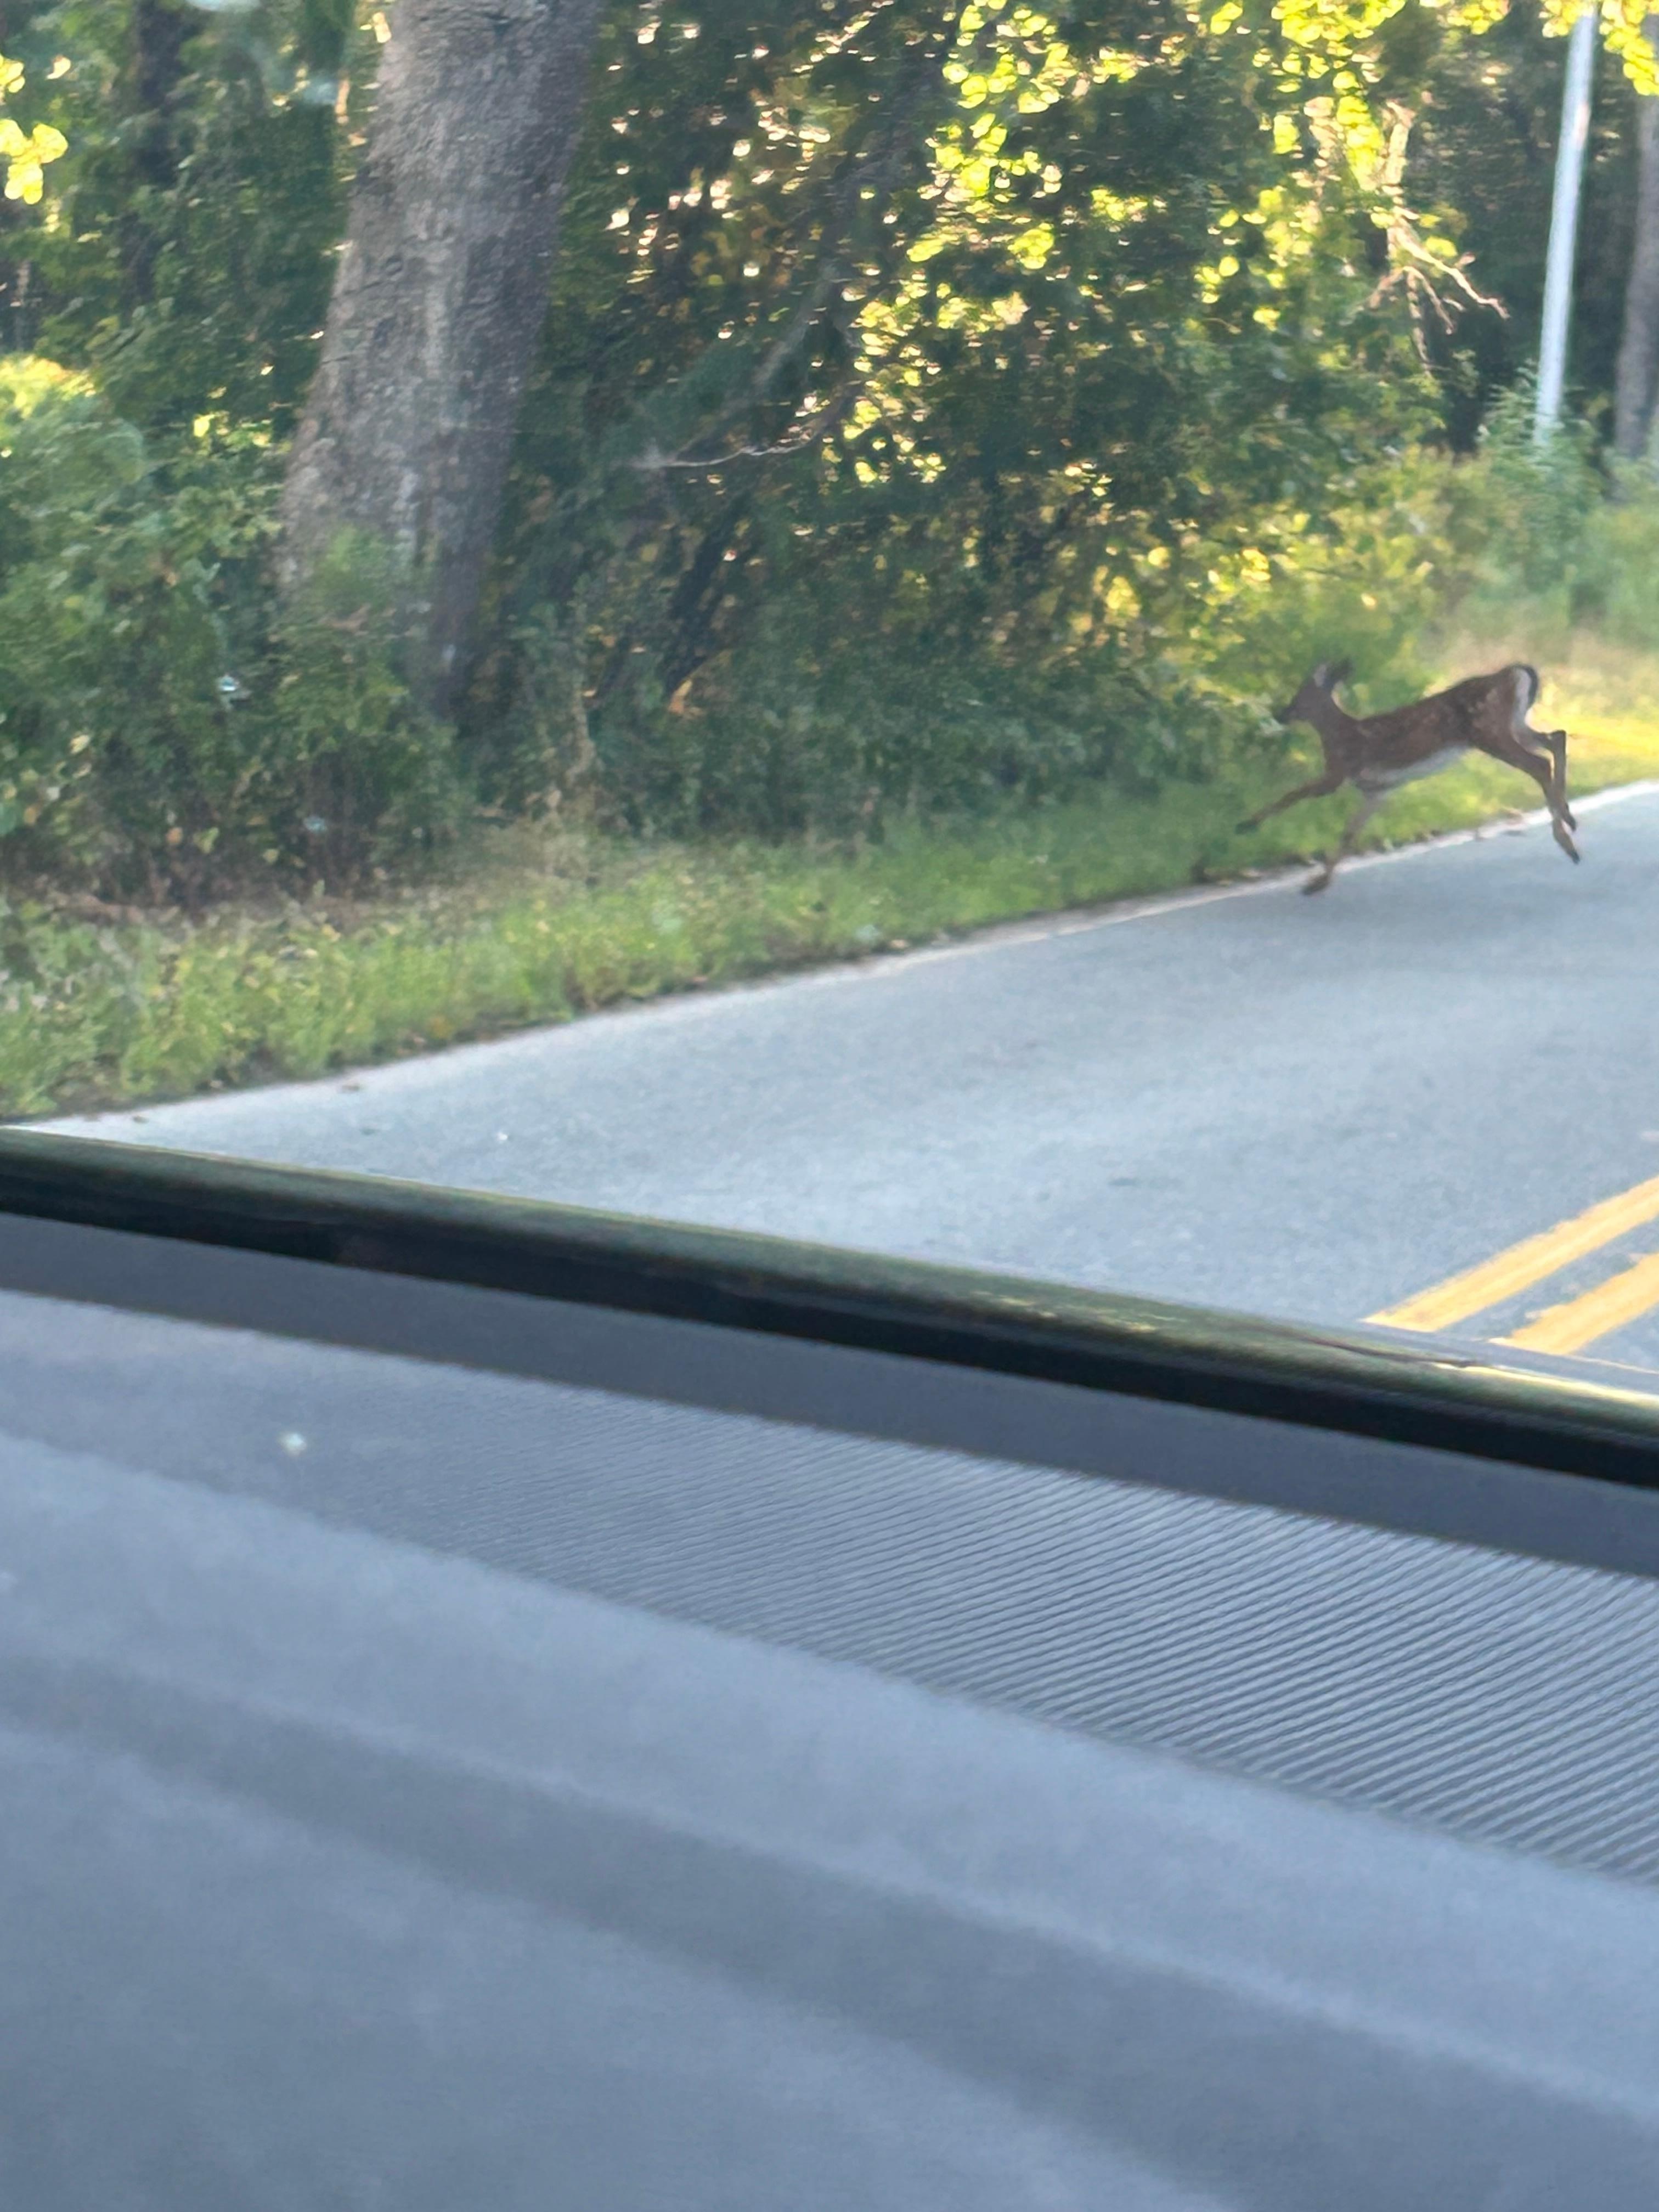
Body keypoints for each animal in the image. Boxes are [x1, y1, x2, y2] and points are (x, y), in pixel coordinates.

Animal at [1236, 660, 1579, 895]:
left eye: (1298, 696)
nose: (1281, 714)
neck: (1339, 733)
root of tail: (1515, 672)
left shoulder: (1338, 772)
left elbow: (1294, 794)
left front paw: (1247, 825)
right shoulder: (1377, 790)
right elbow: (1349, 834)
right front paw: (1318, 883)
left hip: (1489, 731)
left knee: (1539, 762)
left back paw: (1566, 837)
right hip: (1513, 725)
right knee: (1556, 738)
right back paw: (1569, 819)